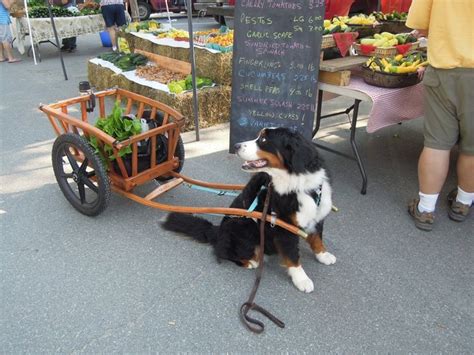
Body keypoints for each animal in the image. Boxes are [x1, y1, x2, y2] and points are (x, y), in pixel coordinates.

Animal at [162, 128, 334, 294]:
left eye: (263, 139)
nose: (236, 145)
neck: (298, 185)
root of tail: (218, 231)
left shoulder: (318, 216)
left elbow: (317, 238)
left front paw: (323, 255)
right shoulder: (284, 227)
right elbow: (292, 255)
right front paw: (302, 280)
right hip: (244, 232)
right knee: (224, 252)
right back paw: (251, 261)